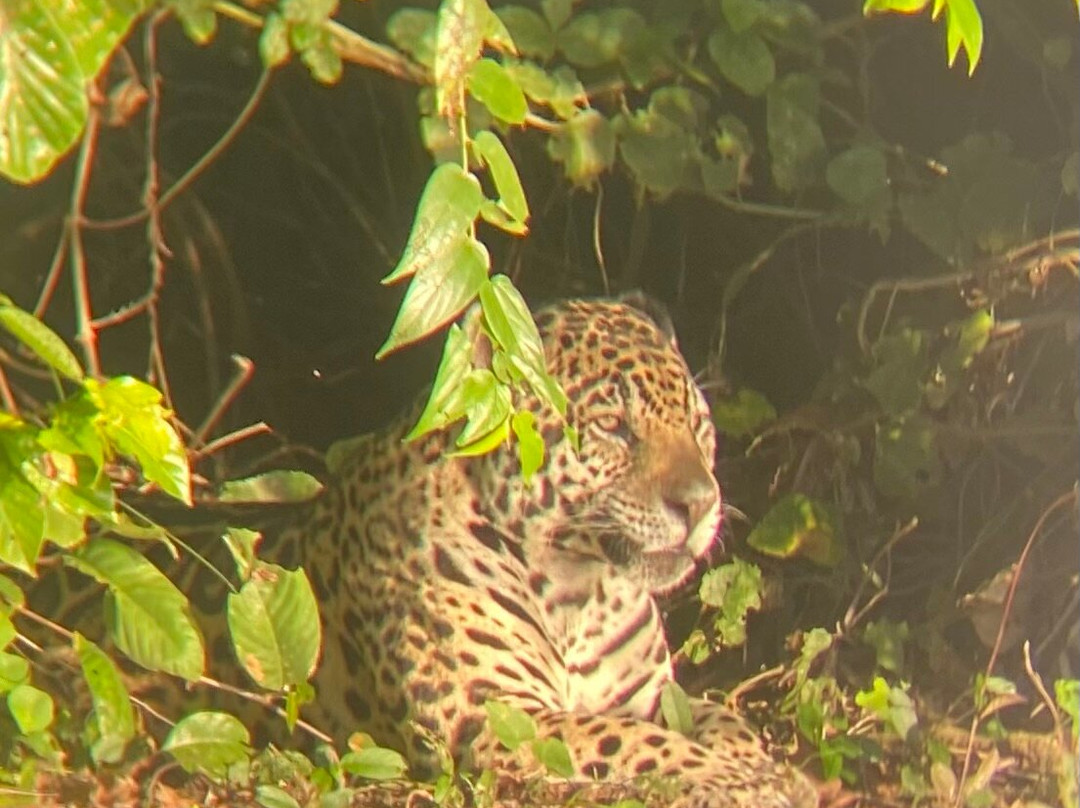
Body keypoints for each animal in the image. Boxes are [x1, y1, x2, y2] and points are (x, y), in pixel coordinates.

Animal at [264, 296, 818, 808]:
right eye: (613, 426)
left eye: (696, 422)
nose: (701, 503)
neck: (582, 591)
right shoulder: (492, 715)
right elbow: (634, 741)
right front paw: (750, 783)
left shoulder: (654, 694)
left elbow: (719, 718)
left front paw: (761, 766)